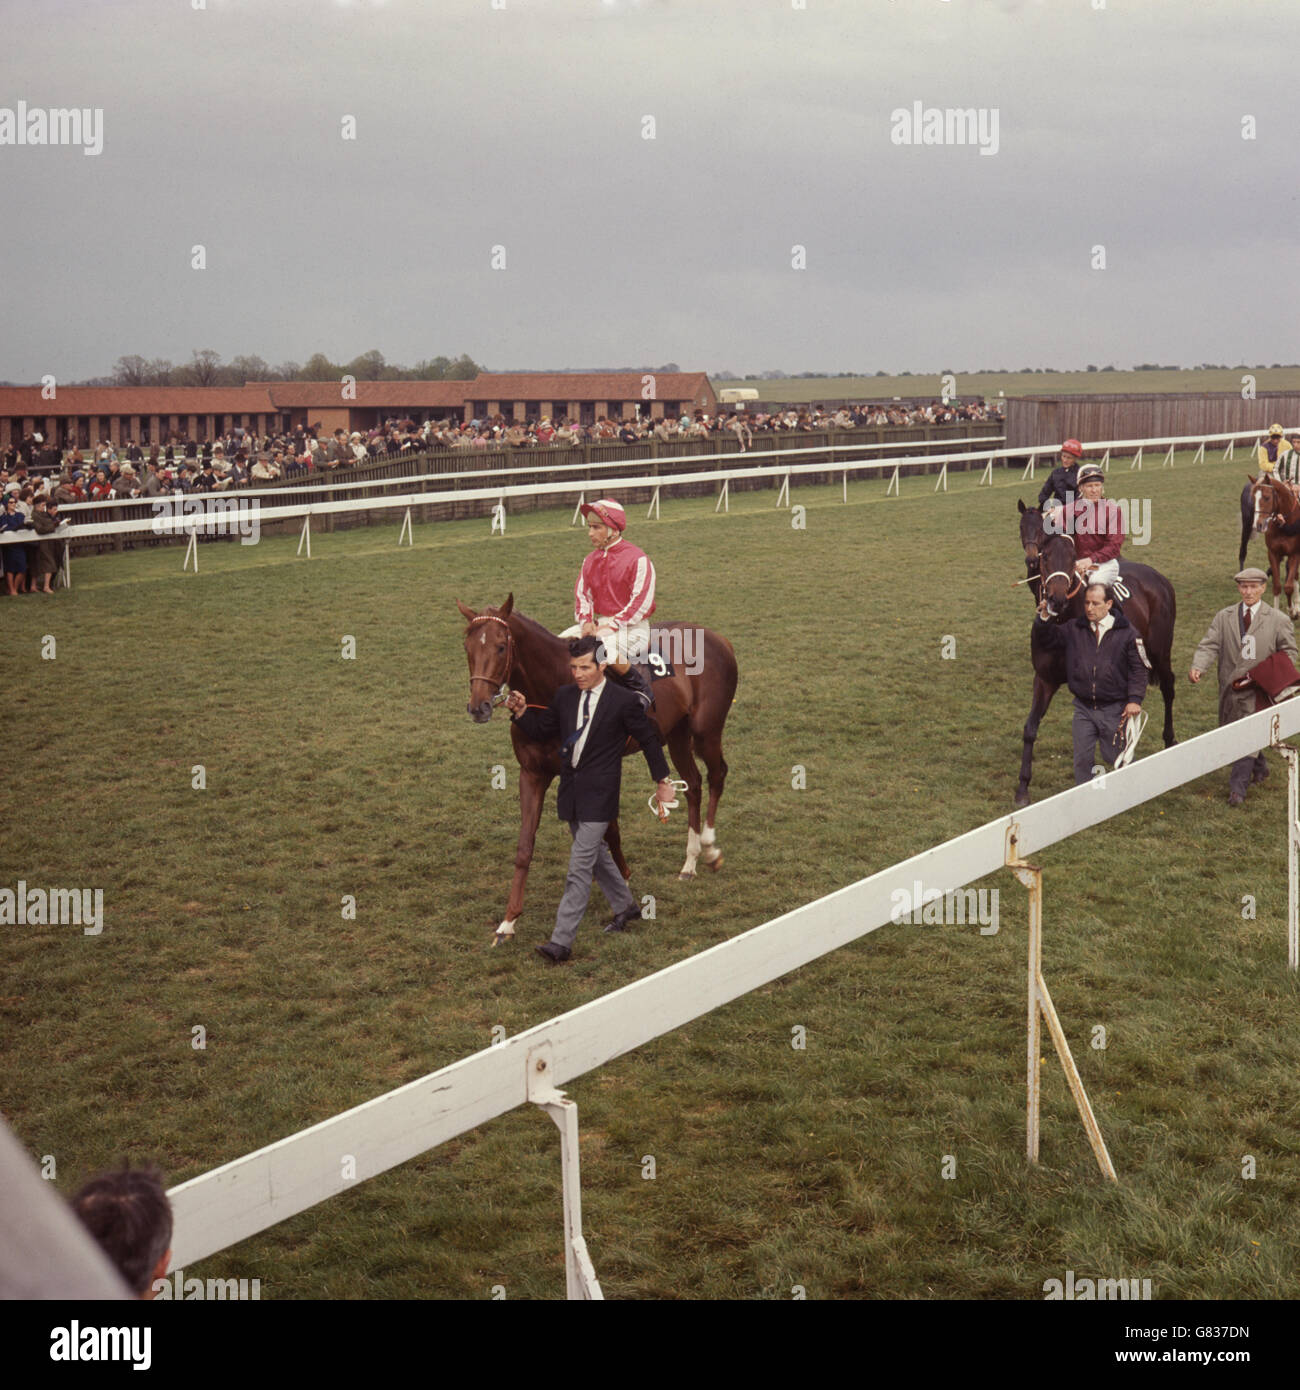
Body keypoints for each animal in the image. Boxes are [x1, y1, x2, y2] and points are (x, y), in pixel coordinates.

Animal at [461, 597, 739, 945]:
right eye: (468, 646)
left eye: (501, 646)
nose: (478, 707)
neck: (552, 690)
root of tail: (719, 638)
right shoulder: (532, 773)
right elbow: (526, 846)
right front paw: (508, 922)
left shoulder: (599, 767)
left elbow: (609, 830)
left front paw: (623, 882)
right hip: (676, 734)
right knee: (694, 783)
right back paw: (689, 862)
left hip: (706, 731)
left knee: (717, 776)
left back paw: (710, 848)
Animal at [1017, 503, 1179, 811]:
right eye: (1046, 558)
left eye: (1072, 560)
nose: (1056, 600)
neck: (1062, 622)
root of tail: (1160, 579)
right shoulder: (1044, 679)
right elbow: (1030, 727)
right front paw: (1022, 788)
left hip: (1160, 651)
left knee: (1168, 688)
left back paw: (1170, 741)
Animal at [1245, 472, 1300, 614]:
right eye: (1253, 498)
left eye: (1267, 497)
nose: (1257, 525)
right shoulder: (1273, 554)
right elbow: (1277, 586)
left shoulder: (1294, 554)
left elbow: (1288, 587)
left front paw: (1292, 611)